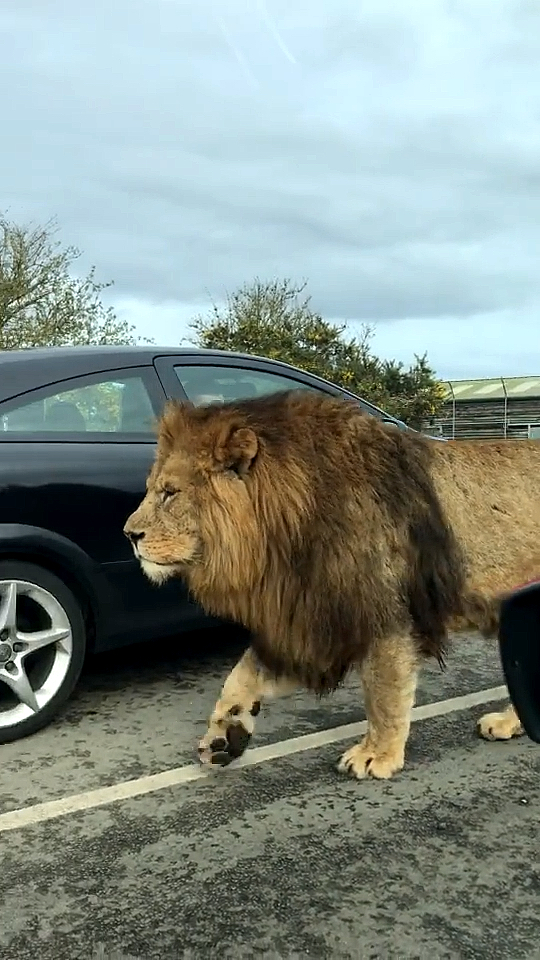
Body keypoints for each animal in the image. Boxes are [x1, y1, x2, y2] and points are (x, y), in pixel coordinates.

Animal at [123, 390, 540, 780]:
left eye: (170, 492)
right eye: (153, 488)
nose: (129, 534)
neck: (286, 529)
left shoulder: (383, 614)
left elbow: (383, 693)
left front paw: (376, 755)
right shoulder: (306, 618)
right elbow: (240, 676)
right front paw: (224, 737)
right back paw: (510, 723)